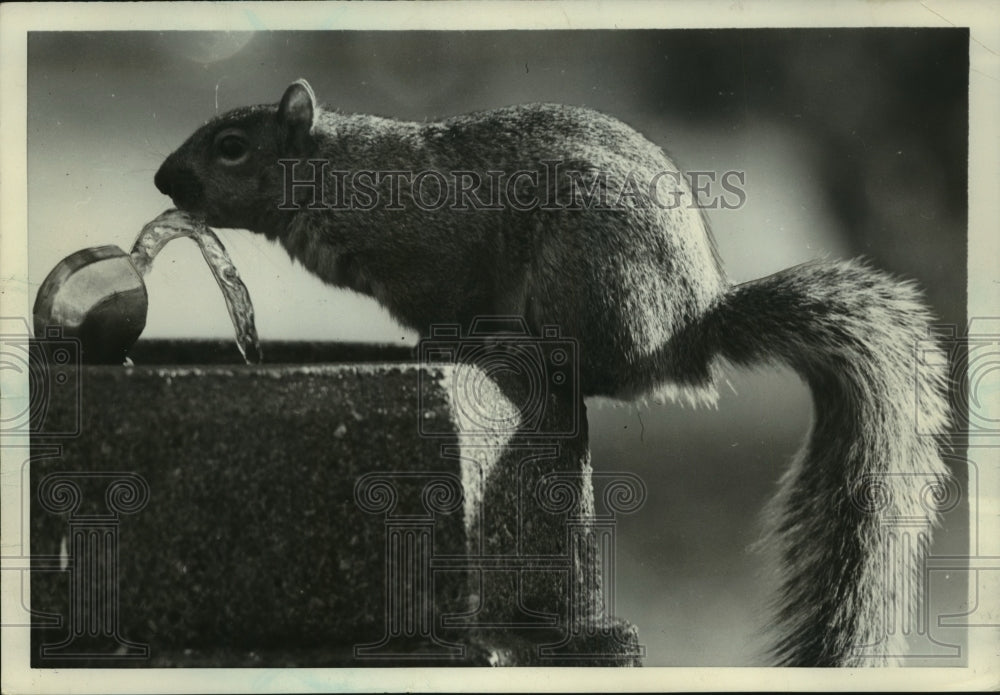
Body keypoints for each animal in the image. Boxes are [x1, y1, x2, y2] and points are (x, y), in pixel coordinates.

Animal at [156, 79, 952, 668]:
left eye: (231, 148)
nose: (163, 179)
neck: (338, 173)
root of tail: (687, 332)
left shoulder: (439, 254)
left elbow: (449, 307)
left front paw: (439, 350)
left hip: (585, 265)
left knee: (593, 368)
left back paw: (523, 350)